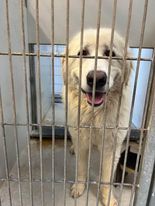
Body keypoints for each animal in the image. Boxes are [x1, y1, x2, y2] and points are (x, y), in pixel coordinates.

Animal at [61, 27, 132, 206]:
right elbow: (81, 169)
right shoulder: (81, 140)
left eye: (110, 54)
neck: (95, 114)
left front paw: (107, 198)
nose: (96, 78)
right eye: (83, 53)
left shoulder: (111, 147)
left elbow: (106, 178)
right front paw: (79, 187)